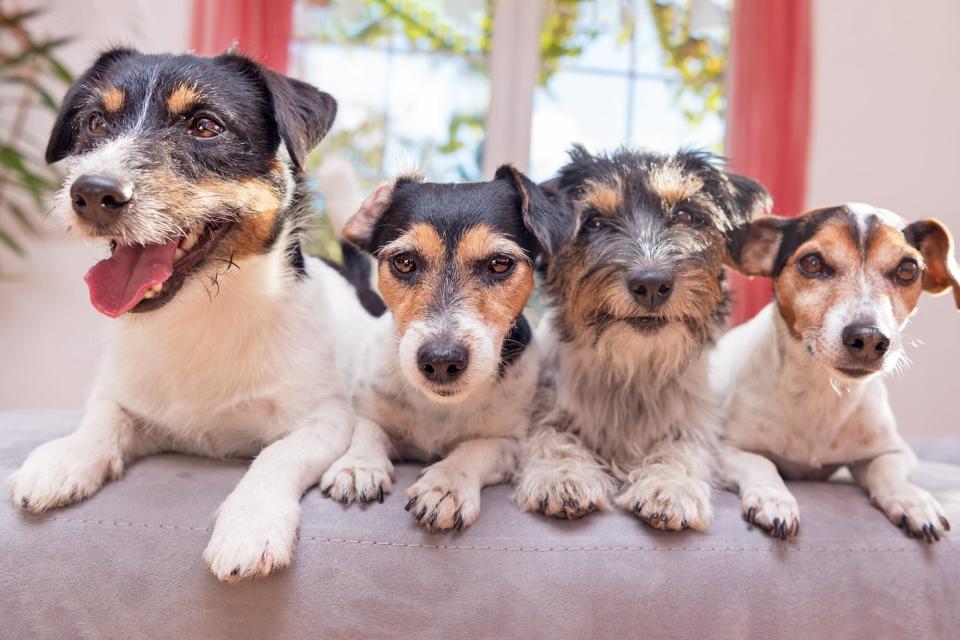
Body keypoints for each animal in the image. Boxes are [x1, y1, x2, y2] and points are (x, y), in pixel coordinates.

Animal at [716, 204, 956, 540]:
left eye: (908, 269)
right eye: (812, 262)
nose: (869, 338)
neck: (821, 392)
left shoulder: (896, 452)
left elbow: (886, 470)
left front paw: (913, 500)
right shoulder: (723, 450)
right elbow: (762, 463)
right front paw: (773, 498)